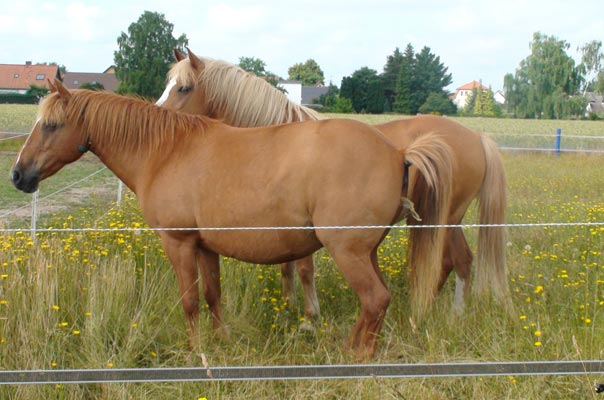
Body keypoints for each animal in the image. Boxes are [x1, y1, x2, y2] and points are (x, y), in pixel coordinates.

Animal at [10, 80, 452, 356]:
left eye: (51, 125)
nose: (18, 175)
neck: (166, 151)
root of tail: (398, 152)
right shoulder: (205, 246)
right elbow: (212, 295)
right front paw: (221, 340)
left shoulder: (179, 243)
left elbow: (189, 301)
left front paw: (197, 352)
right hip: (366, 251)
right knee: (377, 300)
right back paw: (348, 346)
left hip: (348, 251)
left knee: (375, 299)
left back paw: (359, 356)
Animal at [156, 47, 510, 318]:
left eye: (183, 87)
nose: (158, 115)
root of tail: (476, 138)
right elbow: (287, 268)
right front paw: (290, 305)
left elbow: (304, 269)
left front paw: (311, 315)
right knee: (457, 261)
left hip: (442, 220)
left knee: (456, 261)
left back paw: (449, 313)